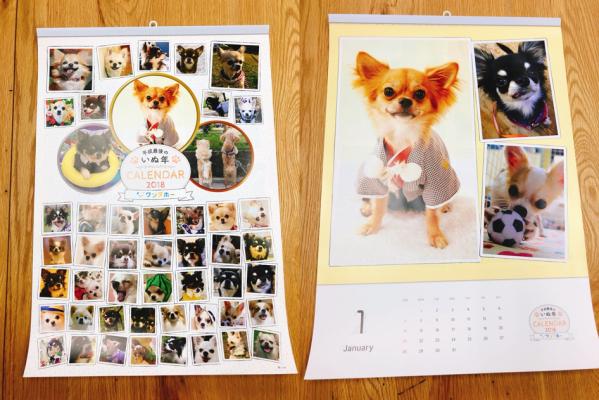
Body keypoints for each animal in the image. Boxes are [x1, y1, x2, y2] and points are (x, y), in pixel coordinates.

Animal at [353, 52, 461, 249]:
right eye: (388, 91)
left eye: (420, 94)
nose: (405, 100)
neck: (402, 134)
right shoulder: (377, 175)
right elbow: (379, 206)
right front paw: (372, 226)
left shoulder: (436, 182)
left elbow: (432, 214)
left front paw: (435, 235)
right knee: (367, 196)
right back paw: (366, 207)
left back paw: (445, 206)